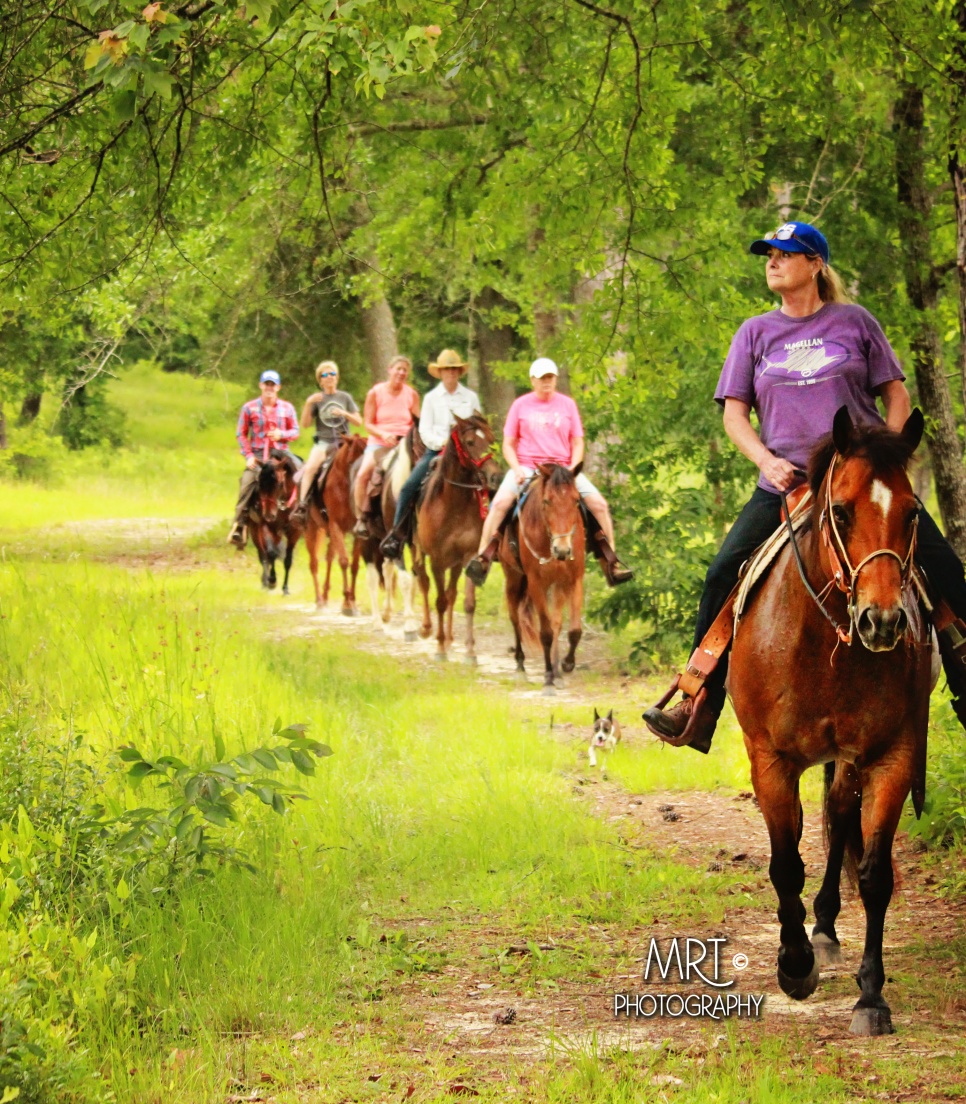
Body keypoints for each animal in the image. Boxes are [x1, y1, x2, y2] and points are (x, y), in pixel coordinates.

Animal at [249, 446, 302, 596]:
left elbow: (288, 560)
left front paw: (285, 589)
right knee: (263, 555)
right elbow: (270, 553)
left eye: (279, 483)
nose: (268, 514)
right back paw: (265, 582)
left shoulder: (295, 531)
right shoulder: (266, 526)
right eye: (260, 483)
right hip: (255, 529)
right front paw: (272, 580)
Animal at [306, 434, 370, 613]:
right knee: (314, 563)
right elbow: (344, 561)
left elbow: (354, 565)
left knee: (329, 558)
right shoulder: (336, 526)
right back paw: (319, 600)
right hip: (311, 529)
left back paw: (325, 595)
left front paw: (352, 601)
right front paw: (347, 604)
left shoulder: (357, 531)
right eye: (352, 461)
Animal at [410, 412, 503, 653]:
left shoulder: (468, 556)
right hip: (418, 550)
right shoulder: (437, 560)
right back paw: (427, 628)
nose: (495, 477)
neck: (453, 506)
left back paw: (450, 637)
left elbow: (466, 603)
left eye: (491, 440)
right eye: (470, 442)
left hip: (455, 563)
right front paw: (440, 648)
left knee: (451, 593)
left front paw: (469, 650)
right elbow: (440, 600)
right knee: (423, 580)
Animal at [503, 461, 587, 693]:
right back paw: (521, 666)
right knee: (515, 619)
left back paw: (558, 671)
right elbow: (546, 633)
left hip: (557, 586)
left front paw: (566, 665)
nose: (563, 550)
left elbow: (573, 630)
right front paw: (548, 677)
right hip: (513, 578)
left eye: (576, 500)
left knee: (556, 622)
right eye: (547, 501)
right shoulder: (536, 583)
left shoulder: (573, 580)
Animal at [733, 406, 936, 1033]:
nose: (883, 621)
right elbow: (785, 864)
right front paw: (794, 965)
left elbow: (874, 875)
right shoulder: (770, 759)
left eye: (913, 512)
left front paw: (871, 997)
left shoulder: (890, 757)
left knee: (842, 819)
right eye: (841, 511)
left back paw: (824, 929)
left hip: (848, 761)